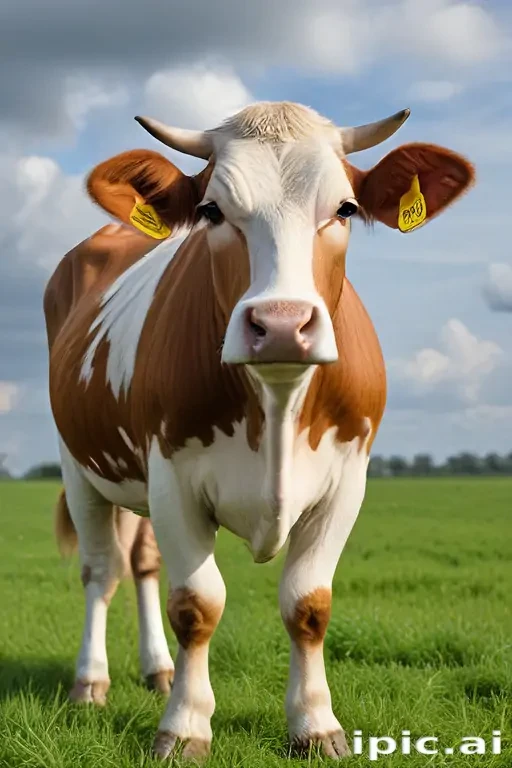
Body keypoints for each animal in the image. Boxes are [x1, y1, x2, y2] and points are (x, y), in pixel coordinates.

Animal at [45, 101, 474, 761]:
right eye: (211, 211)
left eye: (345, 208)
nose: (280, 324)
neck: (276, 405)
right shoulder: (172, 479)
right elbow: (197, 603)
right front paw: (184, 728)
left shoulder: (347, 481)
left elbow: (309, 603)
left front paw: (316, 725)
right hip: (80, 466)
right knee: (101, 570)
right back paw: (91, 683)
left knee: (141, 564)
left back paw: (157, 670)